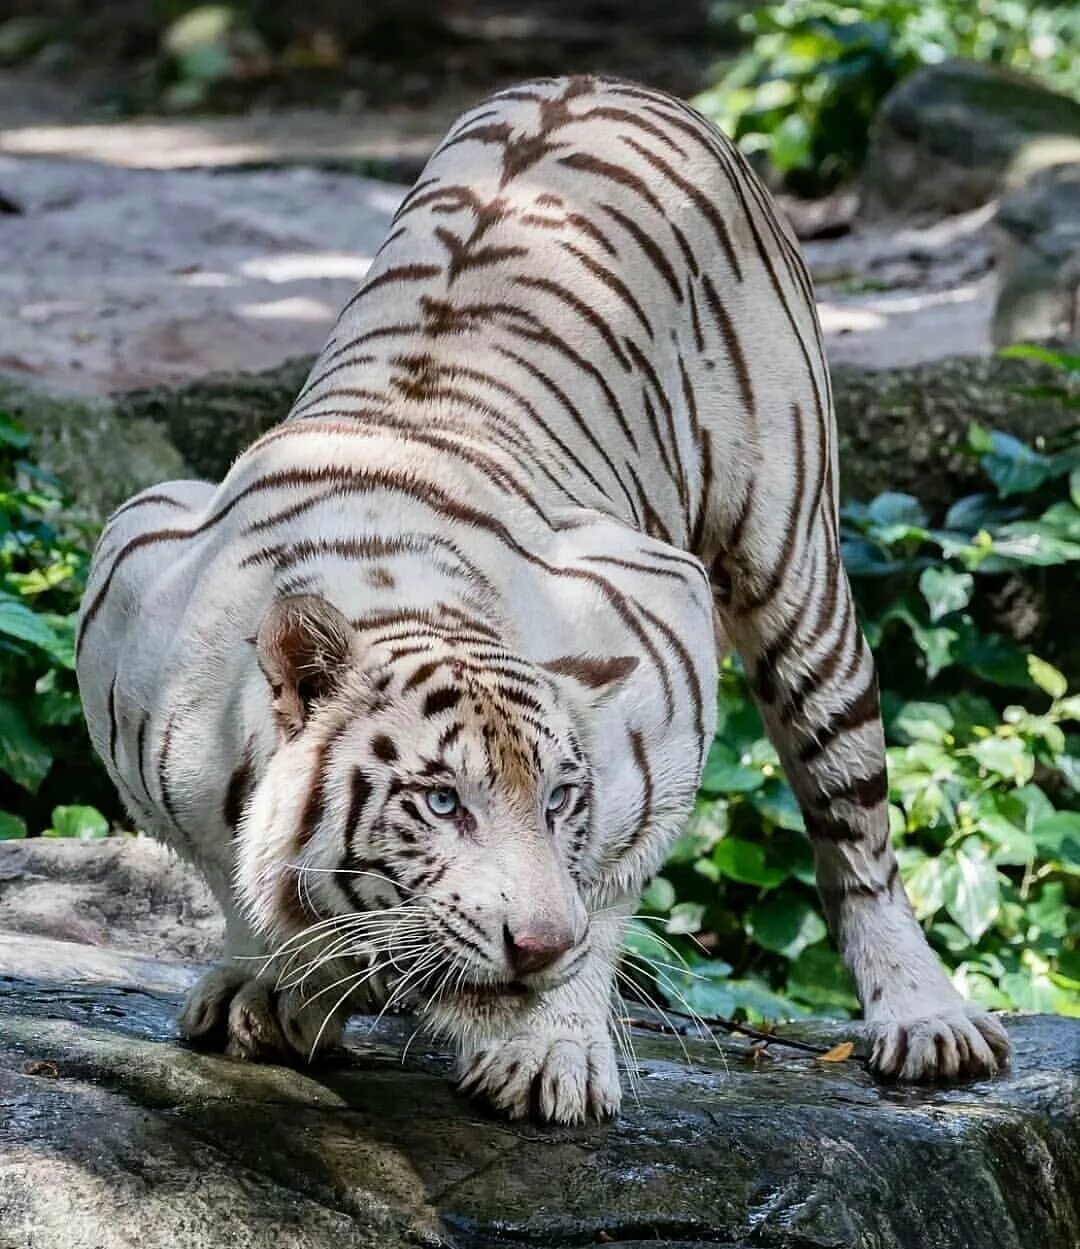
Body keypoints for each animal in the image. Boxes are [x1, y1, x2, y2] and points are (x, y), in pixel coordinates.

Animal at [73, 73, 1003, 1129]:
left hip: (796, 566)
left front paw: (546, 1049)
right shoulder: (131, 585)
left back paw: (927, 1018)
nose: (537, 945)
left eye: (559, 796)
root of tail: (604, 82)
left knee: (855, 823)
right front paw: (266, 982)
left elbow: (607, 880)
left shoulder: (661, 634)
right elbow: (230, 880)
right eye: (441, 801)